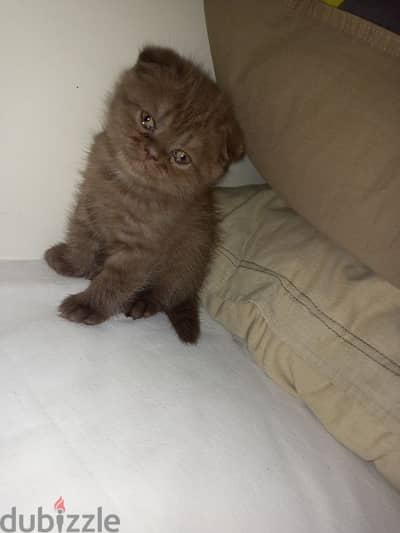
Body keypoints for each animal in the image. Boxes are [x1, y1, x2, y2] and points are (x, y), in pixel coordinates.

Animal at [44, 46, 244, 344]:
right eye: (147, 119)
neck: (125, 185)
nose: (152, 152)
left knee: (168, 293)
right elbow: (81, 238)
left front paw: (88, 305)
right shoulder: (88, 205)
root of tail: (194, 288)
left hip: (186, 261)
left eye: (180, 157)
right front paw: (71, 263)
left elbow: (116, 280)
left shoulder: (141, 248)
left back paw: (142, 302)